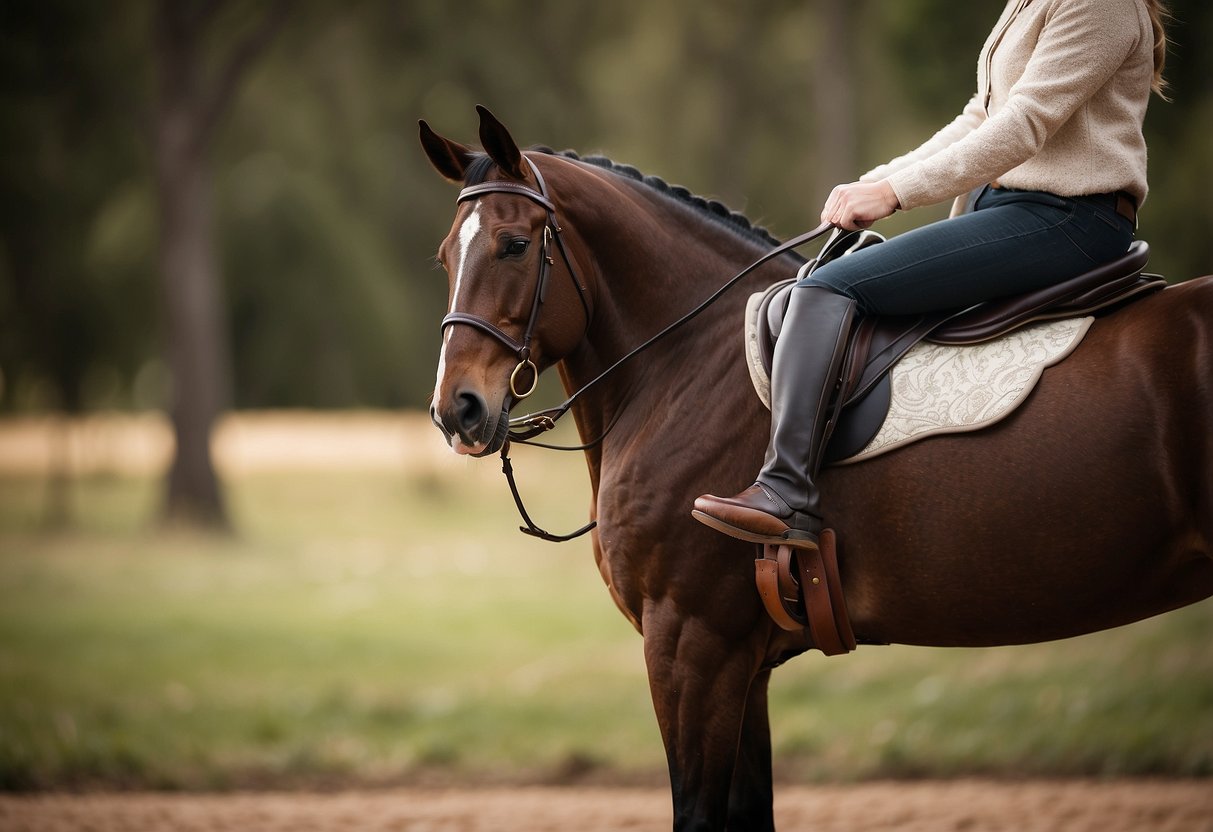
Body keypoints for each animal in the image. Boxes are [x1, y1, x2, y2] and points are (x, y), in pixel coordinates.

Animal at [419, 107, 1213, 829]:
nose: (457, 410)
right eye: (445, 257)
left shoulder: (690, 642)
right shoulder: (739, 661)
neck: (687, 363)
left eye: (514, 245)